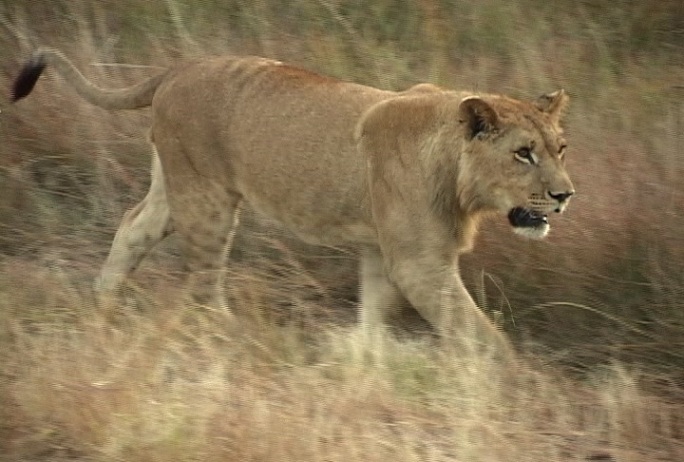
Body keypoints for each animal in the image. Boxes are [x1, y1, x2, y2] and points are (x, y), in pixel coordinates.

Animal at [13, 48, 576, 356]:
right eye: (523, 153)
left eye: (560, 148)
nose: (565, 195)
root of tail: (178, 68)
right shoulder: (420, 263)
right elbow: (477, 333)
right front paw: (510, 384)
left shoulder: (380, 248)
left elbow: (374, 313)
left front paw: (363, 360)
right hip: (207, 199)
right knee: (204, 281)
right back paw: (226, 336)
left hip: (175, 188)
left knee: (133, 227)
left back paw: (101, 305)